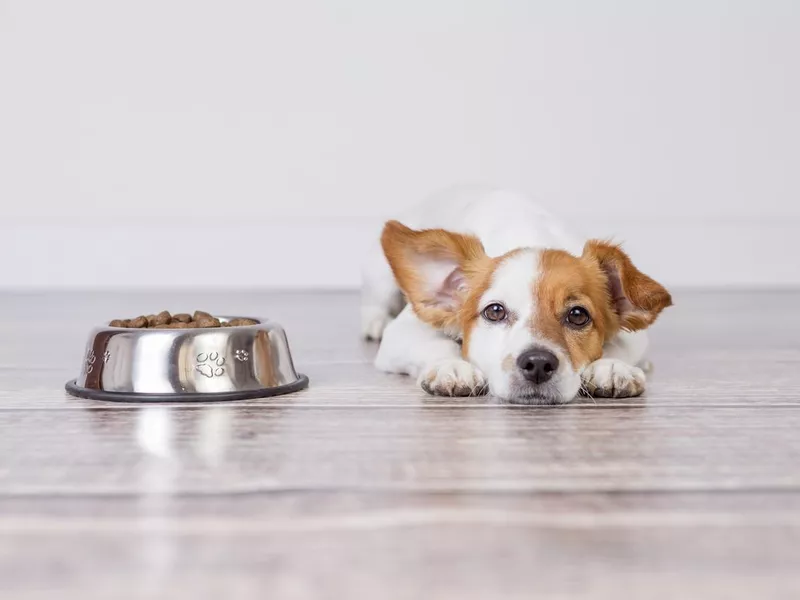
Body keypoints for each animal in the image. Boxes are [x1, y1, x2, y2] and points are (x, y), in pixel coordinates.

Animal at [360, 186, 672, 404]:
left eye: (578, 315)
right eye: (495, 311)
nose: (538, 364)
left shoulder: (635, 337)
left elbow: (617, 346)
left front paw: (611, 367)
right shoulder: (403, 332)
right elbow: (438, 345)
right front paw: (452, 366)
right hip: (381, 282)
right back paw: (374, 322)